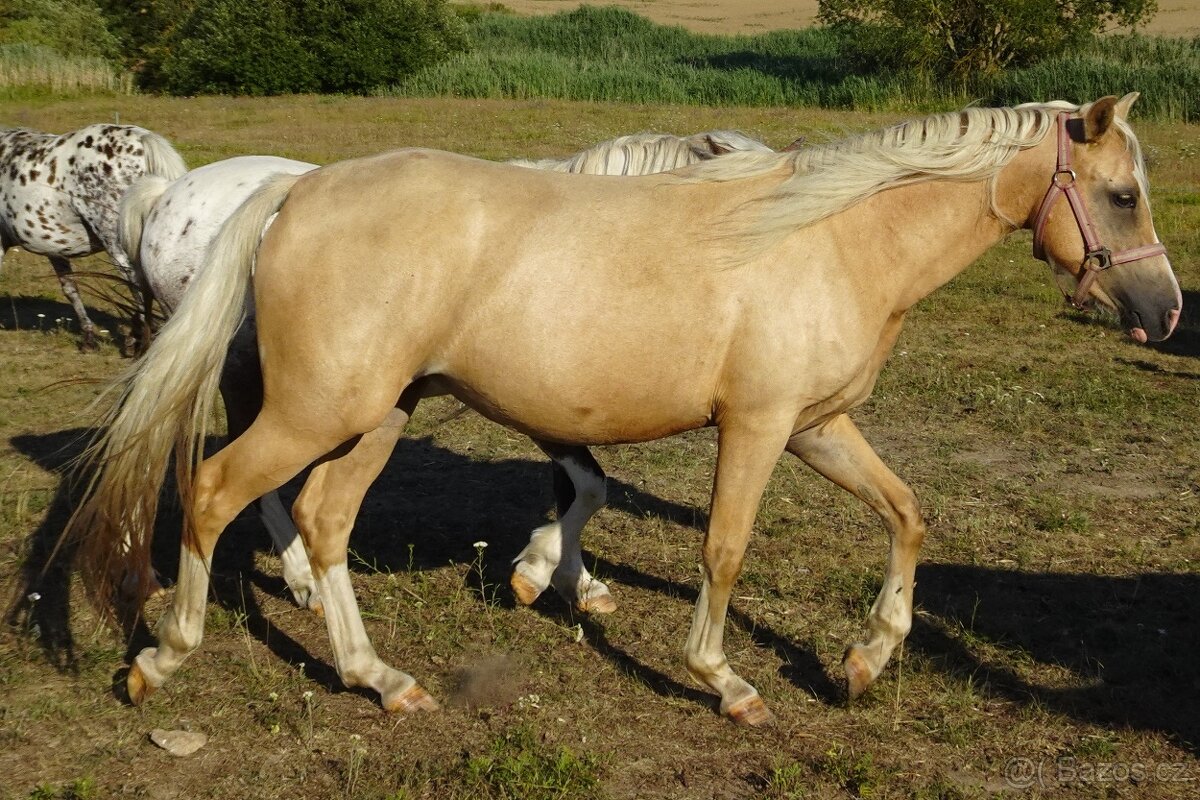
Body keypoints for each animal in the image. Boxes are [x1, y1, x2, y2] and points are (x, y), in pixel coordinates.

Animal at [116, 130, 774, 613]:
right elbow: (586, 485)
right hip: (259, 377)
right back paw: (297, 579)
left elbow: (579, 487)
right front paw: (554, 576)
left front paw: (572, 582)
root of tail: (167, 197)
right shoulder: (539, 407)